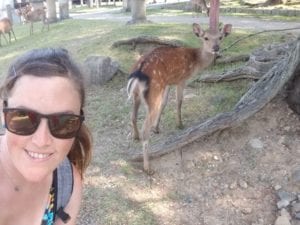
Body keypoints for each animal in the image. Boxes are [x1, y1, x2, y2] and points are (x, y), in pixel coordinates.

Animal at [126, 22, 232, 173]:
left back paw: (135, 136)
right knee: (144, 129)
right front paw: (180, 124)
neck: (196, 61)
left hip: (138, 95)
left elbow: (164, 103)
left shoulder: (168, 82)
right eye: (205, 37)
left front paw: (157, 128)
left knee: (133, 116)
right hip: (154, 93)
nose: (216, 48)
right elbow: (179, 102)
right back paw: (148, 168)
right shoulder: (181, 79)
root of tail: (137, 74)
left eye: (220, 37)